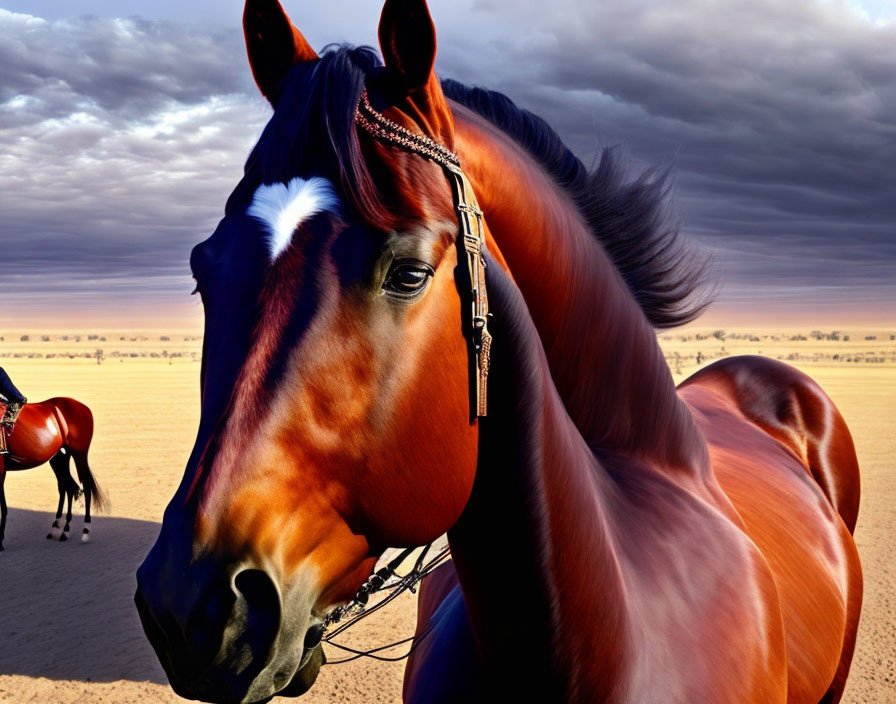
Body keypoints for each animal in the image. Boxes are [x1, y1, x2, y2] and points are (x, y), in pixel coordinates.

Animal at [0, 396, 105, 552]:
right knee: (68, 487)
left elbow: (2, 507)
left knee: (84, 486)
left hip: (79, 454)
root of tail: (83, 407)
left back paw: (85, 531)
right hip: (59, 457)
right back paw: (61, 529)